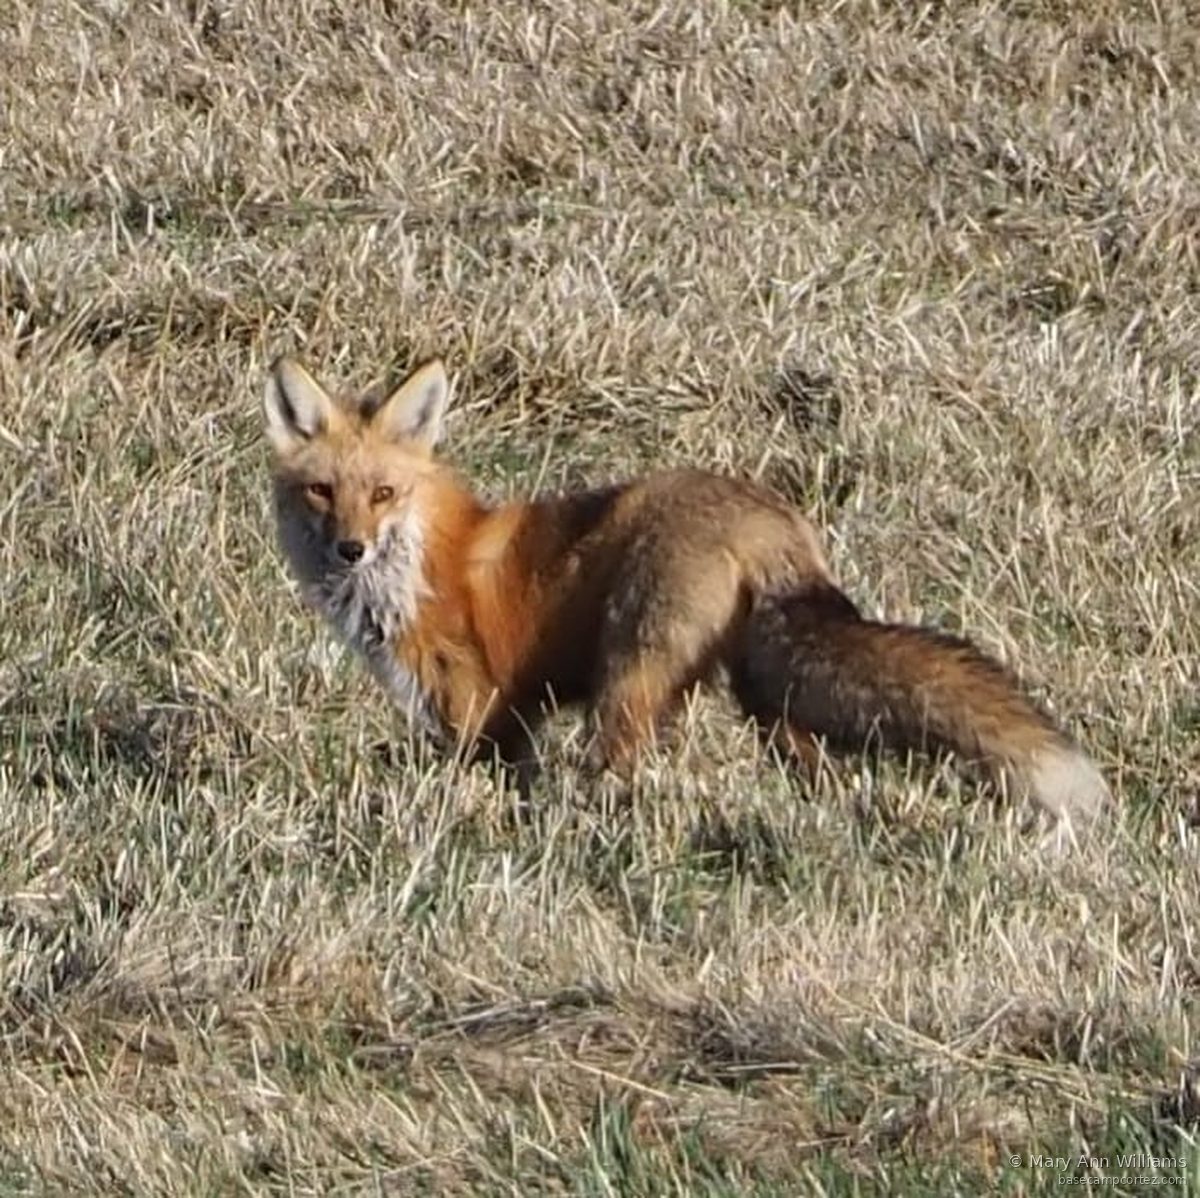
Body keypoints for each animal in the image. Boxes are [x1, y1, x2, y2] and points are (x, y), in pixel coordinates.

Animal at [261, 353, 1111, 841]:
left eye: (383, 493)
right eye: (322, 492)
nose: (349, 548)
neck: (418, 564)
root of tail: (767, 515)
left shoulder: (482, 715)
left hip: (630, 679)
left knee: (618, 776)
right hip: (765, 700)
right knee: (818, 770)